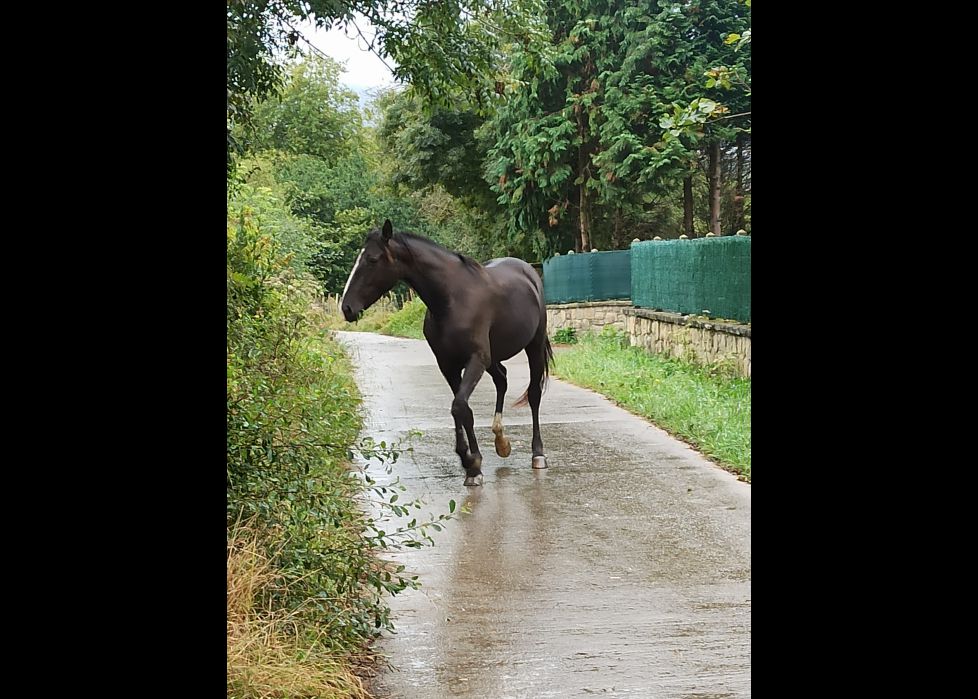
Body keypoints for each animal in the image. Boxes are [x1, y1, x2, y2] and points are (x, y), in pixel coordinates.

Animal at [338, 221, 548, 484]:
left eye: (372, 259)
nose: (347, 308)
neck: (453, 299)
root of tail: (529, 272)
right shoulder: (448, 365)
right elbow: (461, 410)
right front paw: (471, 463)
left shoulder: (476, 360)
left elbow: (459, 407)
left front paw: (472, 462)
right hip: (494, 358)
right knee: (502, 379)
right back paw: (501, 442)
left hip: (533, 346)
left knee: (534, 394)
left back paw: (538, 454)